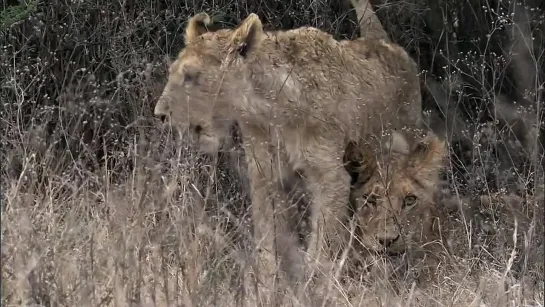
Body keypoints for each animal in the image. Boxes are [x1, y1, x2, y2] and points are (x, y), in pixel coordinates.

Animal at [151, 0, 422, 298]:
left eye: (190, 76)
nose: (159, 114)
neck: (268, 110)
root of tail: (384, 41)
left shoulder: (332, 178)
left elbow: (321, 245)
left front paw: (315, 289)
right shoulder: (265, 176)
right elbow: (268, 241)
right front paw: (266, 288)